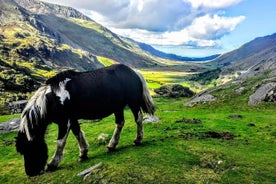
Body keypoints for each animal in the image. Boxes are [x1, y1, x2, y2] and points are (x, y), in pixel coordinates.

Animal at [15, 64, 155, 176]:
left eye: (29, 149)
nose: (30, 173)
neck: (53, 99)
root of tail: (134, 72)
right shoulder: (72, 119)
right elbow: (77, 133)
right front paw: (83, 153)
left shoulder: (64, 121)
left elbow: (60, 142)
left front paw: (53, 164)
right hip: (118, 107)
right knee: (120, 123)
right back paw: (111, 145)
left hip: (133, 103)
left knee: (138, 119)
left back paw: (138, 140)